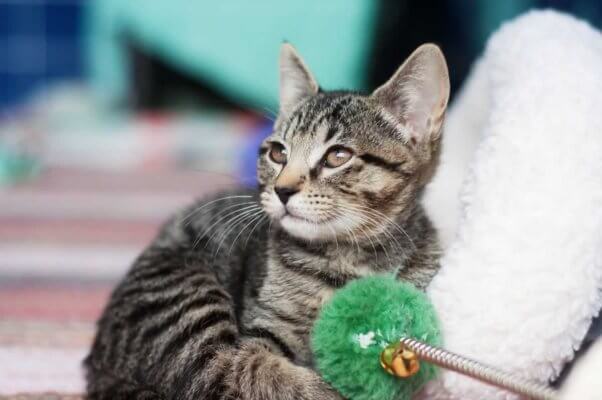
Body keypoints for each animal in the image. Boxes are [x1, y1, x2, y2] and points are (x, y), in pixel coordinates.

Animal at [86, 42, 448, 398]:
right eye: (278, 153)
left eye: (337, 156)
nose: (282, 189)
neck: (345, 259)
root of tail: (96, 361)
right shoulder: (262, 332)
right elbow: (263, 370)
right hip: (186, 299)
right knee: (223, 373)